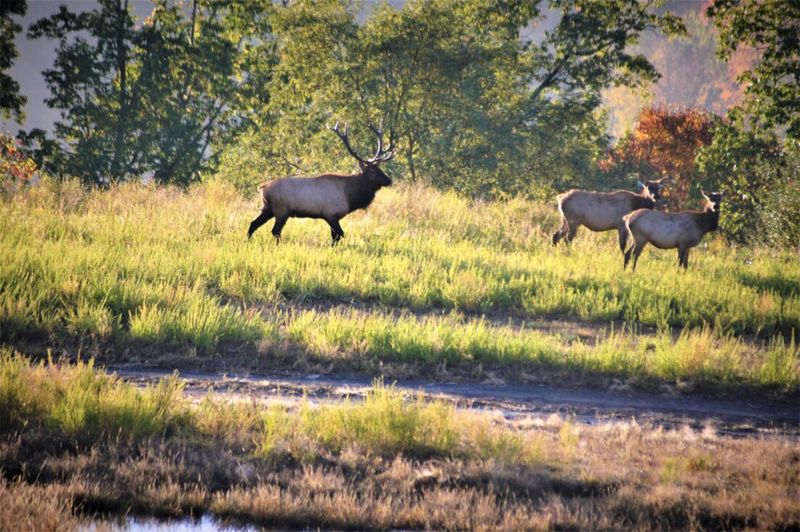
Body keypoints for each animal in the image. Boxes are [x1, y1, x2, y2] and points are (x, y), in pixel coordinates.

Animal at [247, 122, 395, 245]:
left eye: (380, 168)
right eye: (373, 171)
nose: (389, 180)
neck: (350, 197)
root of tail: (262, 188)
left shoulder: (334, 216)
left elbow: (336, 236)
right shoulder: (330, 214)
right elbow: (339, 234)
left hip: (268, 208)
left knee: (253, 224)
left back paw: (247, 242)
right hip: (281, 210)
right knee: (275, 231)